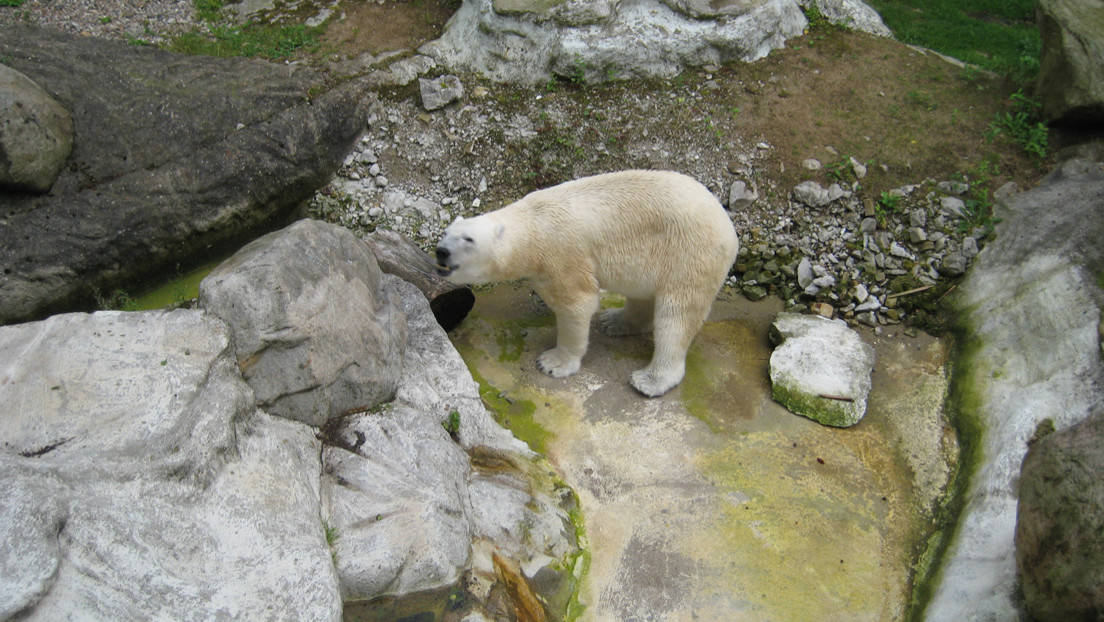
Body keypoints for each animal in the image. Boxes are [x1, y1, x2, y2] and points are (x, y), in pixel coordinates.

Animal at [435, 170, 739, 397]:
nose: (441, 251)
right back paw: (614, 321)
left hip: (689, 254)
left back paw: (650, 380)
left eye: (469, 239)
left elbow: (577, 304)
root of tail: (730, 228)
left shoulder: (562, 254)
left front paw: (553, 362)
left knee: (676, 316)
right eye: (446, 232)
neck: (534, 225)